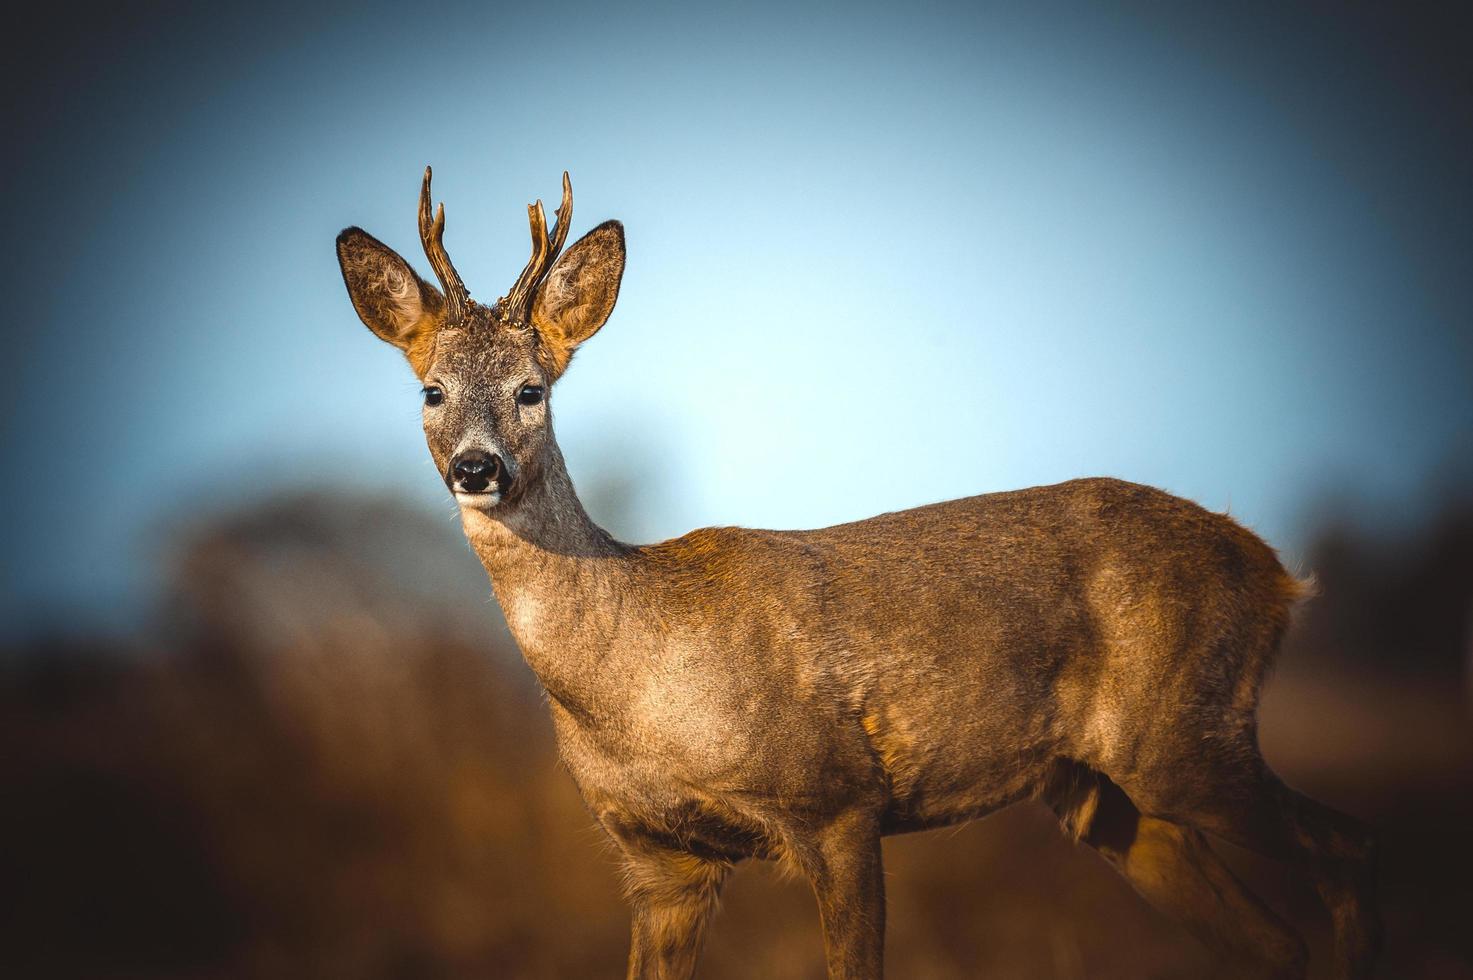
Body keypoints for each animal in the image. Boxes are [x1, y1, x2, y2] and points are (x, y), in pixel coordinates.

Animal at [337, 170, 1378, 978]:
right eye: (430, 390)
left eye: (532, 390)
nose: (477, 468)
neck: (633, 678)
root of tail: (1274, 572)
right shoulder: (659, 861)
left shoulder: (834, 801)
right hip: (1109, 796)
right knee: (1274, 940)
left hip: (1184, 734)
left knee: (1348, 849)